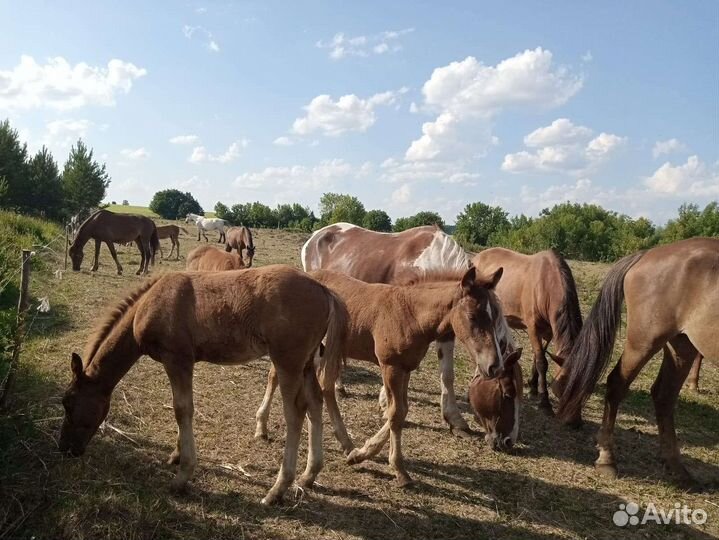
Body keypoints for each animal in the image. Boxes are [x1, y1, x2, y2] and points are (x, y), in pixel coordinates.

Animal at [58, 265, 347, 505]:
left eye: (68, 403)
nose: (65, 449)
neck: (150, 304)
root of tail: (324, 290)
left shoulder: (177, 359)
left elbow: (182, 409)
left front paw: (182, 476)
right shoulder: (179, 363)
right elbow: (180, 408)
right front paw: (175, 455)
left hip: (288, 361)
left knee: (295, 413)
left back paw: (277, 490)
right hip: (307, 363)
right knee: (315, 402)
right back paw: (309, 474)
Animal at [256, 266, 519, 487]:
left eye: (495, 317)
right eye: (473, 316)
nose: (494, 365)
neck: (410, 314)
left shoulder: (405, 368)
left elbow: (401, 411)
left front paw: (360, 454)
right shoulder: (389, 366)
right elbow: (395, 413)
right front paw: (399, 471)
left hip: (322, 350)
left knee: (325, 387)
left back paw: (345, 443)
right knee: (276, 376)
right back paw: (262, 427)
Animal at [301, 222, 475, 435]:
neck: (431, 261)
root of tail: (318, 234)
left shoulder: (445, 330)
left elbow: (447, 373)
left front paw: (455, 419)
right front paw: (385, 403)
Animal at [472, 248, 582, 414]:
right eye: (565, 386)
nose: (575, 420)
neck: (546, 284)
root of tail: (477, 256)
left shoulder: (548, 332)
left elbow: (539, 356)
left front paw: (533, 387)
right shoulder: (533, 328)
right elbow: (542, 362)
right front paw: (544, 401)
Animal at [556, 238, 718, 486]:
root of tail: (645, 254)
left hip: (681, 344)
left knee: (664, 395)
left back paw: (676, 468)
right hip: (645, 339)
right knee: (618, 384)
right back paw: (607, 459)